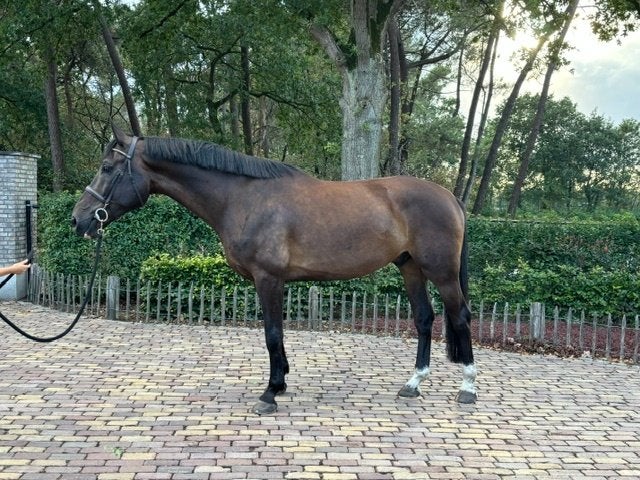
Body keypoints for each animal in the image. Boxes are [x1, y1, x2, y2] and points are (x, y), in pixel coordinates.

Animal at [71, 124, 477, 415]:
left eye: (107, 168)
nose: (79, 219)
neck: (244, 198)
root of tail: (450, 198)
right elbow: (275, 335)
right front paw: (279, 383)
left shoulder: (269, 279)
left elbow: (271, 334)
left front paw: (270, 393)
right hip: (410, 267)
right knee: (424, 319)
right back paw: (412, 385)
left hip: (441, 272)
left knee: (459, 317)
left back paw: (468, 388)